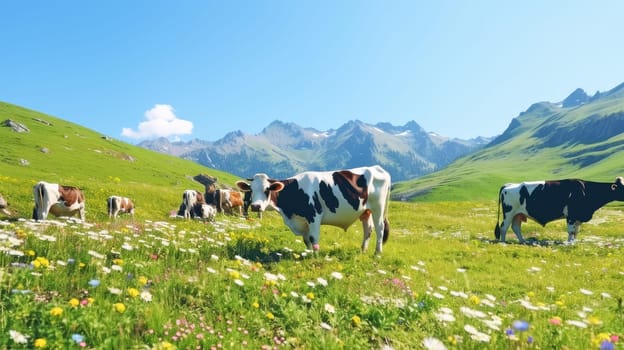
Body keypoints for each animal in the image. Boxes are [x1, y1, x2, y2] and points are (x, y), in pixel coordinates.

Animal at [235, 165, 390, 253]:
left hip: (378, 208)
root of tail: (377, 168)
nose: (256, 206)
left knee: (380, 229)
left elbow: (313, 238)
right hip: (365, 211)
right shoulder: (302, 221)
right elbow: (306, 239)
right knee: (368, 229)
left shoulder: (314, 216)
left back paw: (377, 253)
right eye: (251, 189)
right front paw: (308, 253)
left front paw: (315, 256)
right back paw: (363, 250)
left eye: (267, 189)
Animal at [492, 178, 624, 243]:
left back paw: (522, 241)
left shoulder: (578, 217)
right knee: (504, 227)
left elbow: (576, 231)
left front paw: (574, 242)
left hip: (518, 214)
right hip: (509, 212)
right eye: (622, 187)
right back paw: (503, 242)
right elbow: (571, 231)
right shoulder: (571, 216)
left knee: (516, 227)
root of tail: (508, 185)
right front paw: (569, 243)